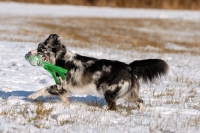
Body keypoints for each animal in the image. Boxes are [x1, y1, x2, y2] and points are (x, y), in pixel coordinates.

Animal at [27, 33, 169, 110]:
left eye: (40, 49)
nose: (28, 53)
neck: (61, 59)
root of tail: (129, 67)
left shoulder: (62, 85)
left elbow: (45, 88)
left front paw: (31, 96)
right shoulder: (64, 88)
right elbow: (61, 95)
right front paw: (66, 102)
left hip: (110, 92)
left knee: (113, 107)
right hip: (128, 93)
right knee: (140, 101)